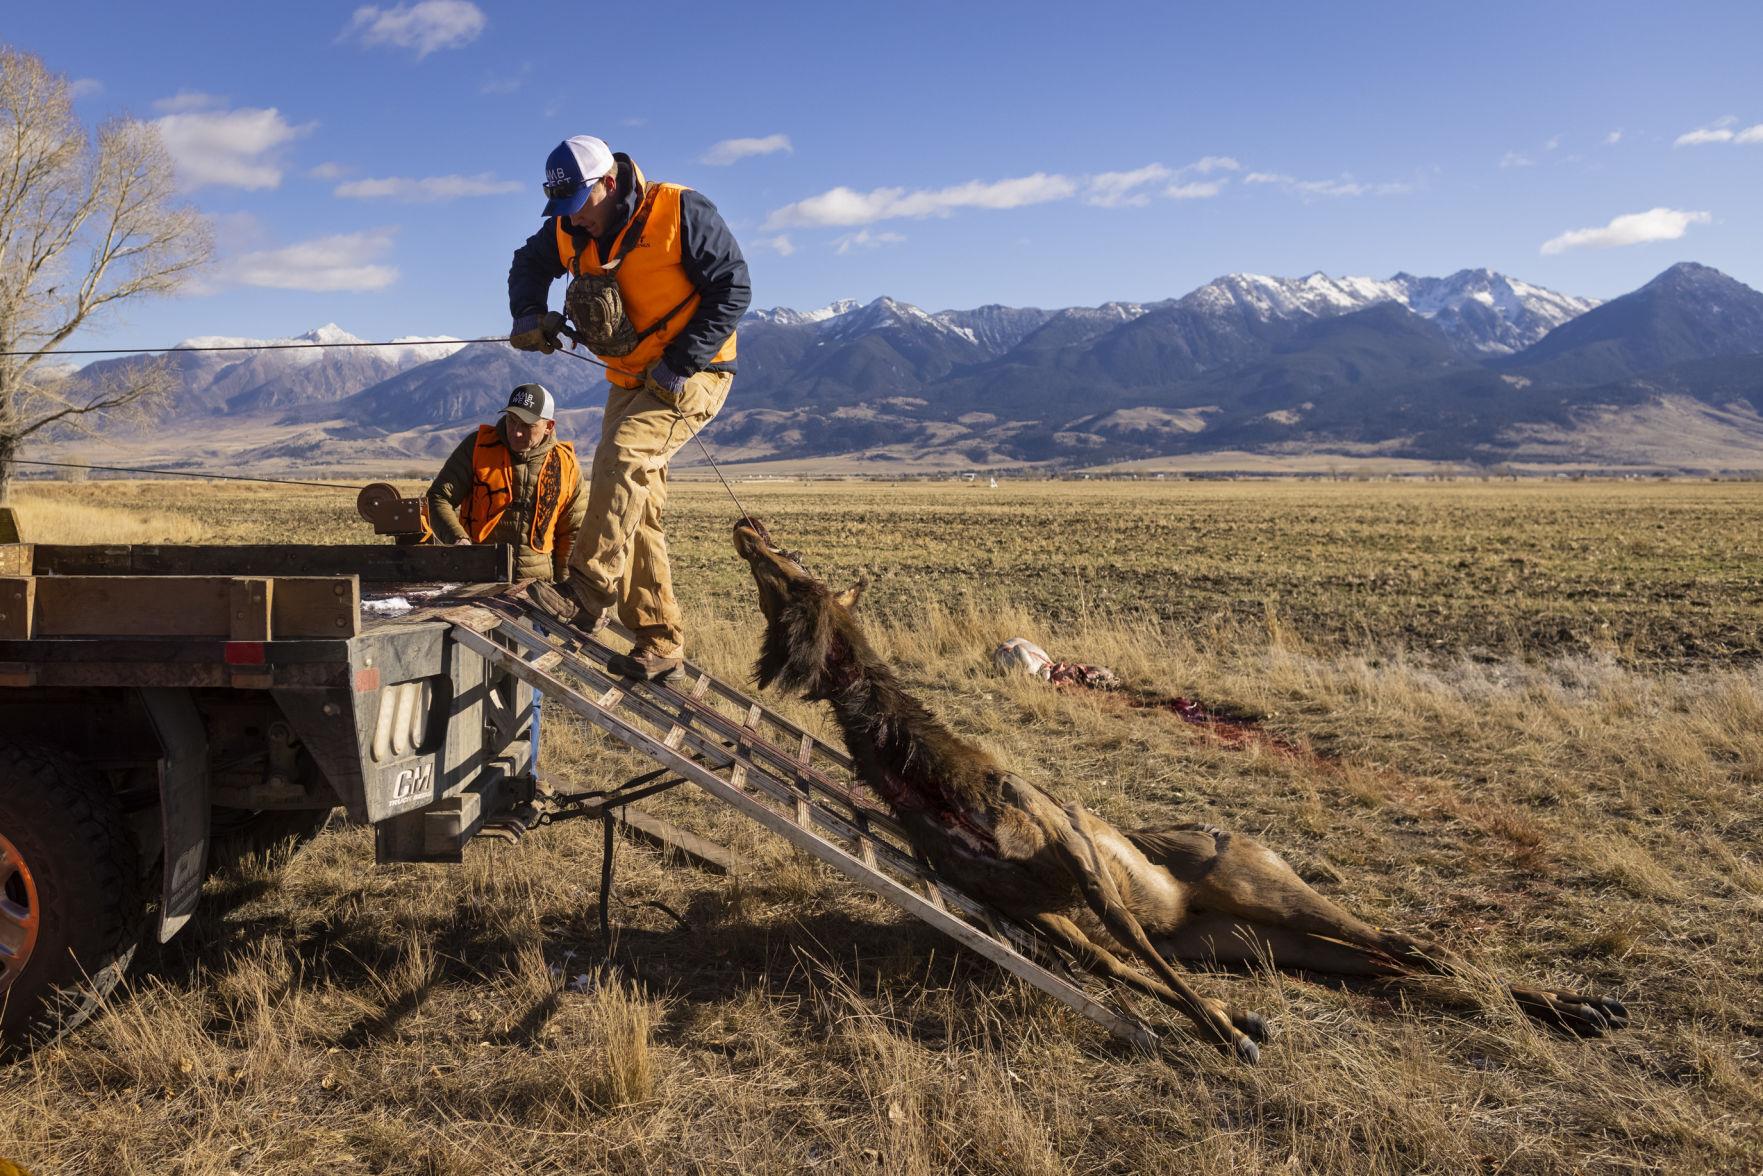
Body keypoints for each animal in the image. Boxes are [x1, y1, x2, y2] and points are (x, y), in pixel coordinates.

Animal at [732, 519, 1628, 1063]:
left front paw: (1231, 1038)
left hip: (1277, 894)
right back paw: (1565, 1010)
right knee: (1392, 965)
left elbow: (1144, 961)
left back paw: (1586, 1006)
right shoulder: (1033, 910)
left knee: (1413, 943)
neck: (929, 777)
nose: (747, 528)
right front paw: (1239, 1023)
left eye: (794, 570)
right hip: (1268, 945)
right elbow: (1123, 969)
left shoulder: (1078, 860)